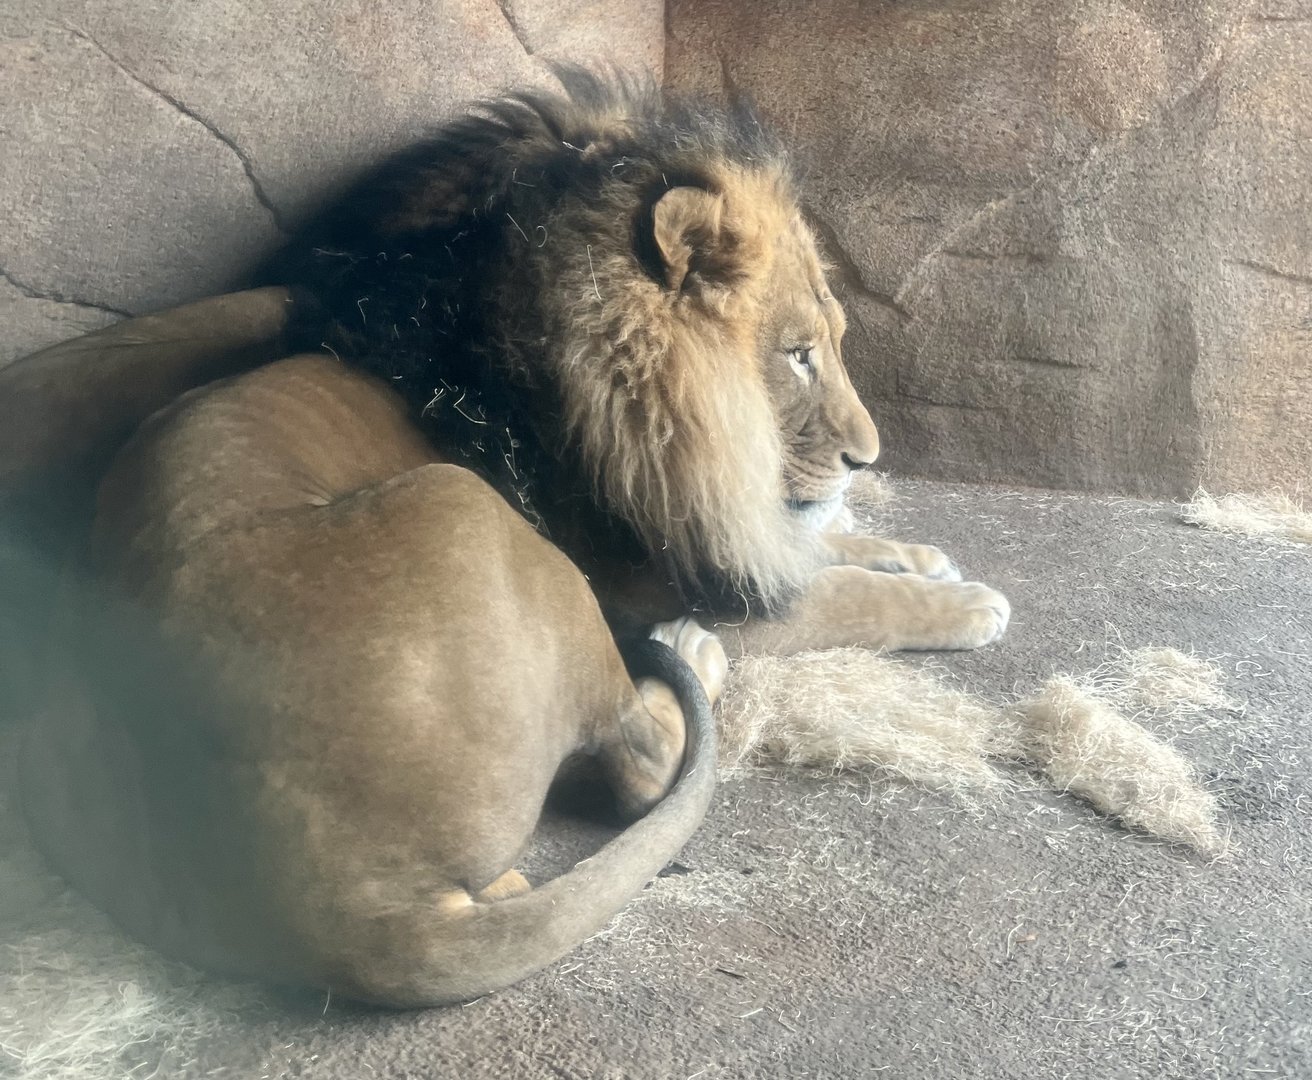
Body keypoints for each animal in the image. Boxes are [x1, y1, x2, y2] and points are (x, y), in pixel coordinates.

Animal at [0, 71, 1008, 1005]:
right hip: (472, 512)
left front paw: (917, 554)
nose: (867, 456)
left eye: (829, 342)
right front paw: (966, 603)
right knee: (644, 760)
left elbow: (821, 554)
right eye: (796, 355)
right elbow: (842, 596)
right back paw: (691, 656)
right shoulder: (661, 575)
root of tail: (343, 909)